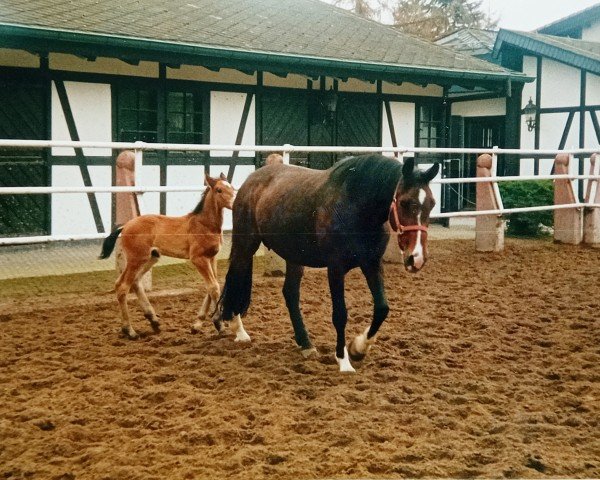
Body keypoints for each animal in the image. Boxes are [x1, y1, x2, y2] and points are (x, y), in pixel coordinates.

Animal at [99, 172, 250, 342]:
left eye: (232, 186)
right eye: (219, 190)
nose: (236, 202)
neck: (204, 225)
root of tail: (125, 225)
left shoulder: (212, 258)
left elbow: (213, 286)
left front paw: (202, 324)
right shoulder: (198, 258)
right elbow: (213, 287)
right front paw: (219, 323)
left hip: (150, 258)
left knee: (136, 282)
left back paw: (154, 321)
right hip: (136, 259)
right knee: (122, 286)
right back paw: (129, 331)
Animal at [213, 154, 438, 372]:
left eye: (432, 203)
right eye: (404, 202)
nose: (416, 257)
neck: (355, 206)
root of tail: (250, 180)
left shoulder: (372, 264)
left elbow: (382, 308)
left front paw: (358, 348)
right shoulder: (336, 269)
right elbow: (340, 314)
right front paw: (344, 360)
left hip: (294, 257)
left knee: (290, 294)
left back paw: (305, 344)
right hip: (246, 245)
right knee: (235, 279)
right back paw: (239, 330)